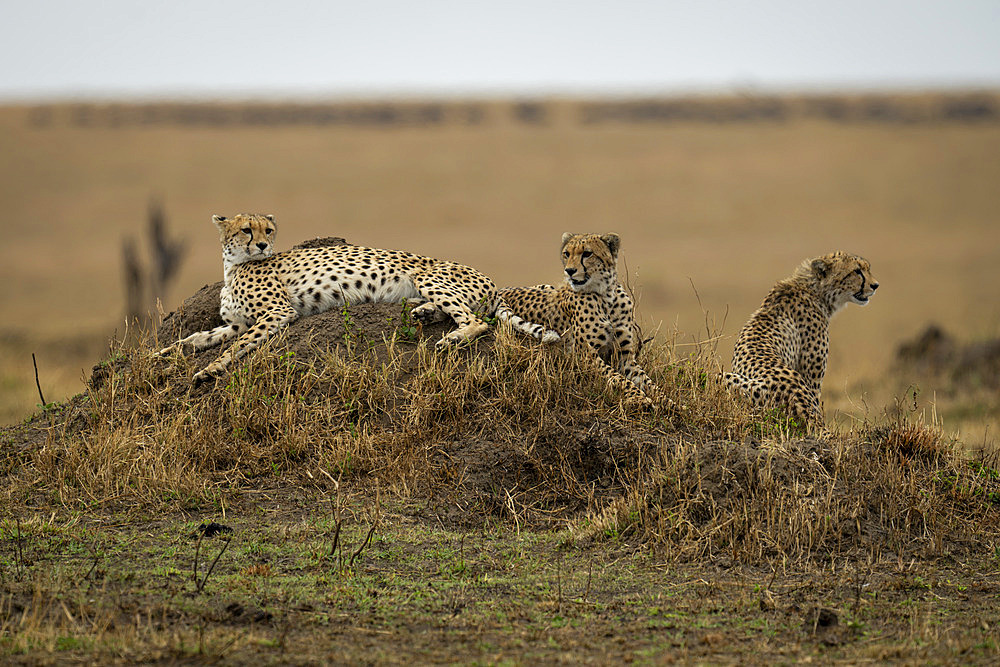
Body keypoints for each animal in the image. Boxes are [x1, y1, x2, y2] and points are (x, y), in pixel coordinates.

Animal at [156, 211, 496, 384]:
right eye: (246, 230)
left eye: (268, 230)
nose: (263, 245)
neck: (233, 266)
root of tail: (491, 281)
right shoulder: (240, 322)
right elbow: (198, 338)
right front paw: (160, 354)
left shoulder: (277, 312)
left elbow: (236, 345)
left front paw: (211, 369)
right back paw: (424, 312)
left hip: (427, 276)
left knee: (477, 321)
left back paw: (455, 337)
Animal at [496, 232, 660, 404]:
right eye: (566, 253)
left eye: (587, 253)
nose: (569, 270)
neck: (606, 296)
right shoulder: (586, 355)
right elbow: (618, 378)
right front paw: (640, 399)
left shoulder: (625, 356)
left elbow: (648, 382)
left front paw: (667, 402)